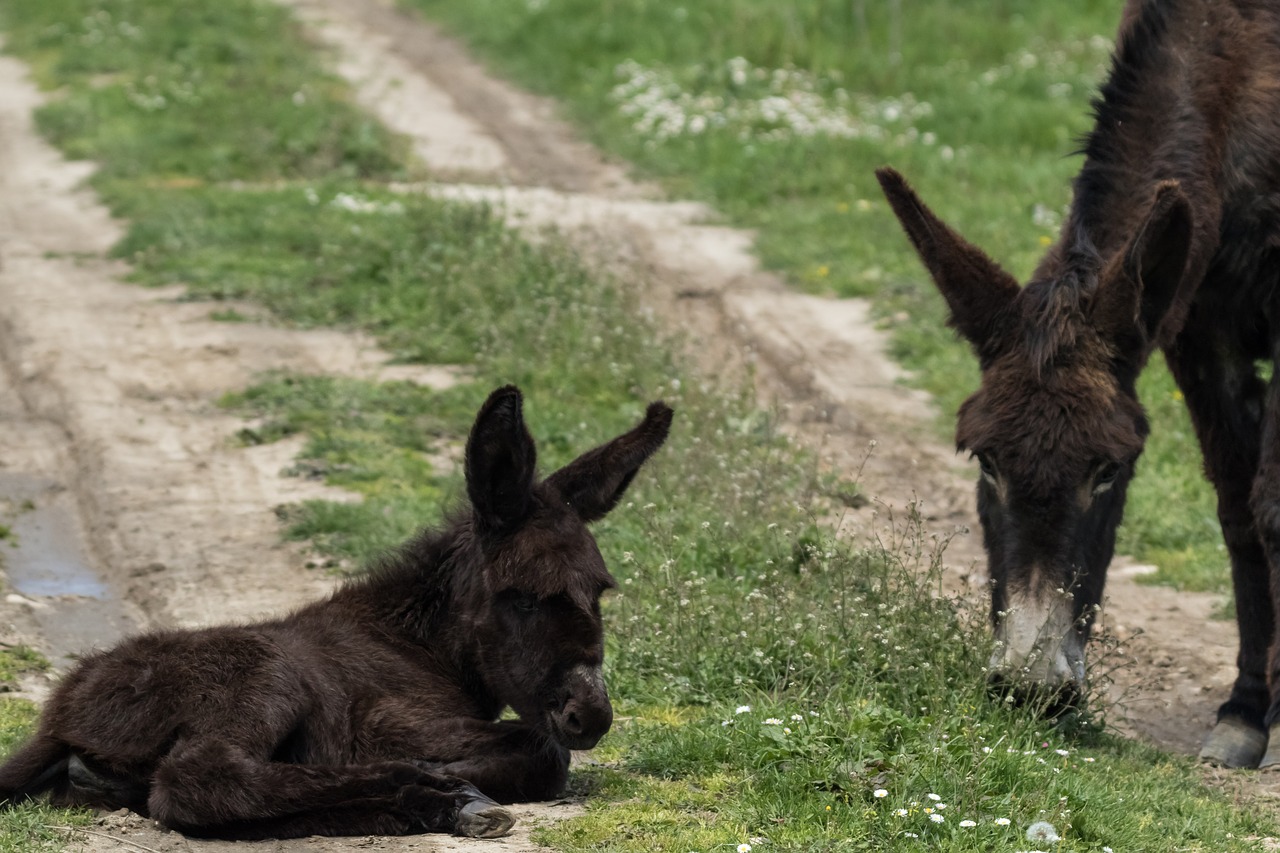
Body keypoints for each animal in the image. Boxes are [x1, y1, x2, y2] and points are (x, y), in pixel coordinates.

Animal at [0, 384, 675, 835]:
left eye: (599, 592)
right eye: (525, 599)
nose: (591, 715)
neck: (424, 649)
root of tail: (63, 707)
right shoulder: (392, 721)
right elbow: (542, 752)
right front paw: (453, 771)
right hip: (262, 676)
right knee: (199, 782)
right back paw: (431, 792)